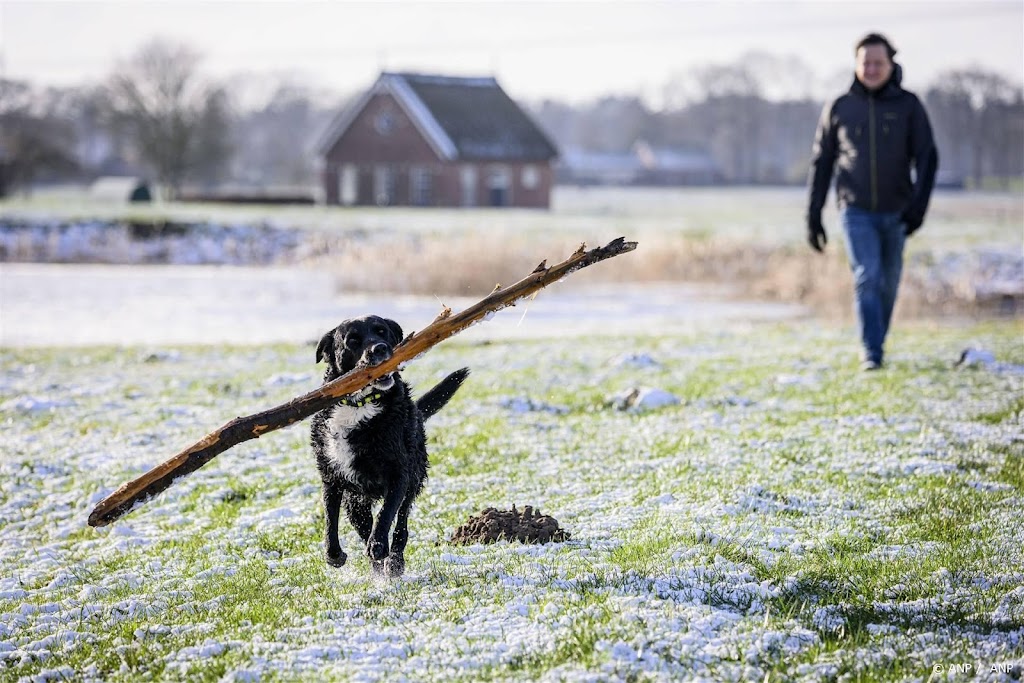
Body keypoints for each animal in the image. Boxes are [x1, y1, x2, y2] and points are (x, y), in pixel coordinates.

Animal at [307, 317, 468, 577]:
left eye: (382, 332)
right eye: (353, 340)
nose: (379, 348)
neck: (360, 404)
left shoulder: (399, 474)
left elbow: (386, 513)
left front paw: (379, 545)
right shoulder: (331, 476)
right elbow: (330, 518)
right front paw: (334, 555)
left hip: (414, 480)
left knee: (401, 524)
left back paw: (393, 561)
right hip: (356, 502)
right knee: (363, 527)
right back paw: (378, 567)